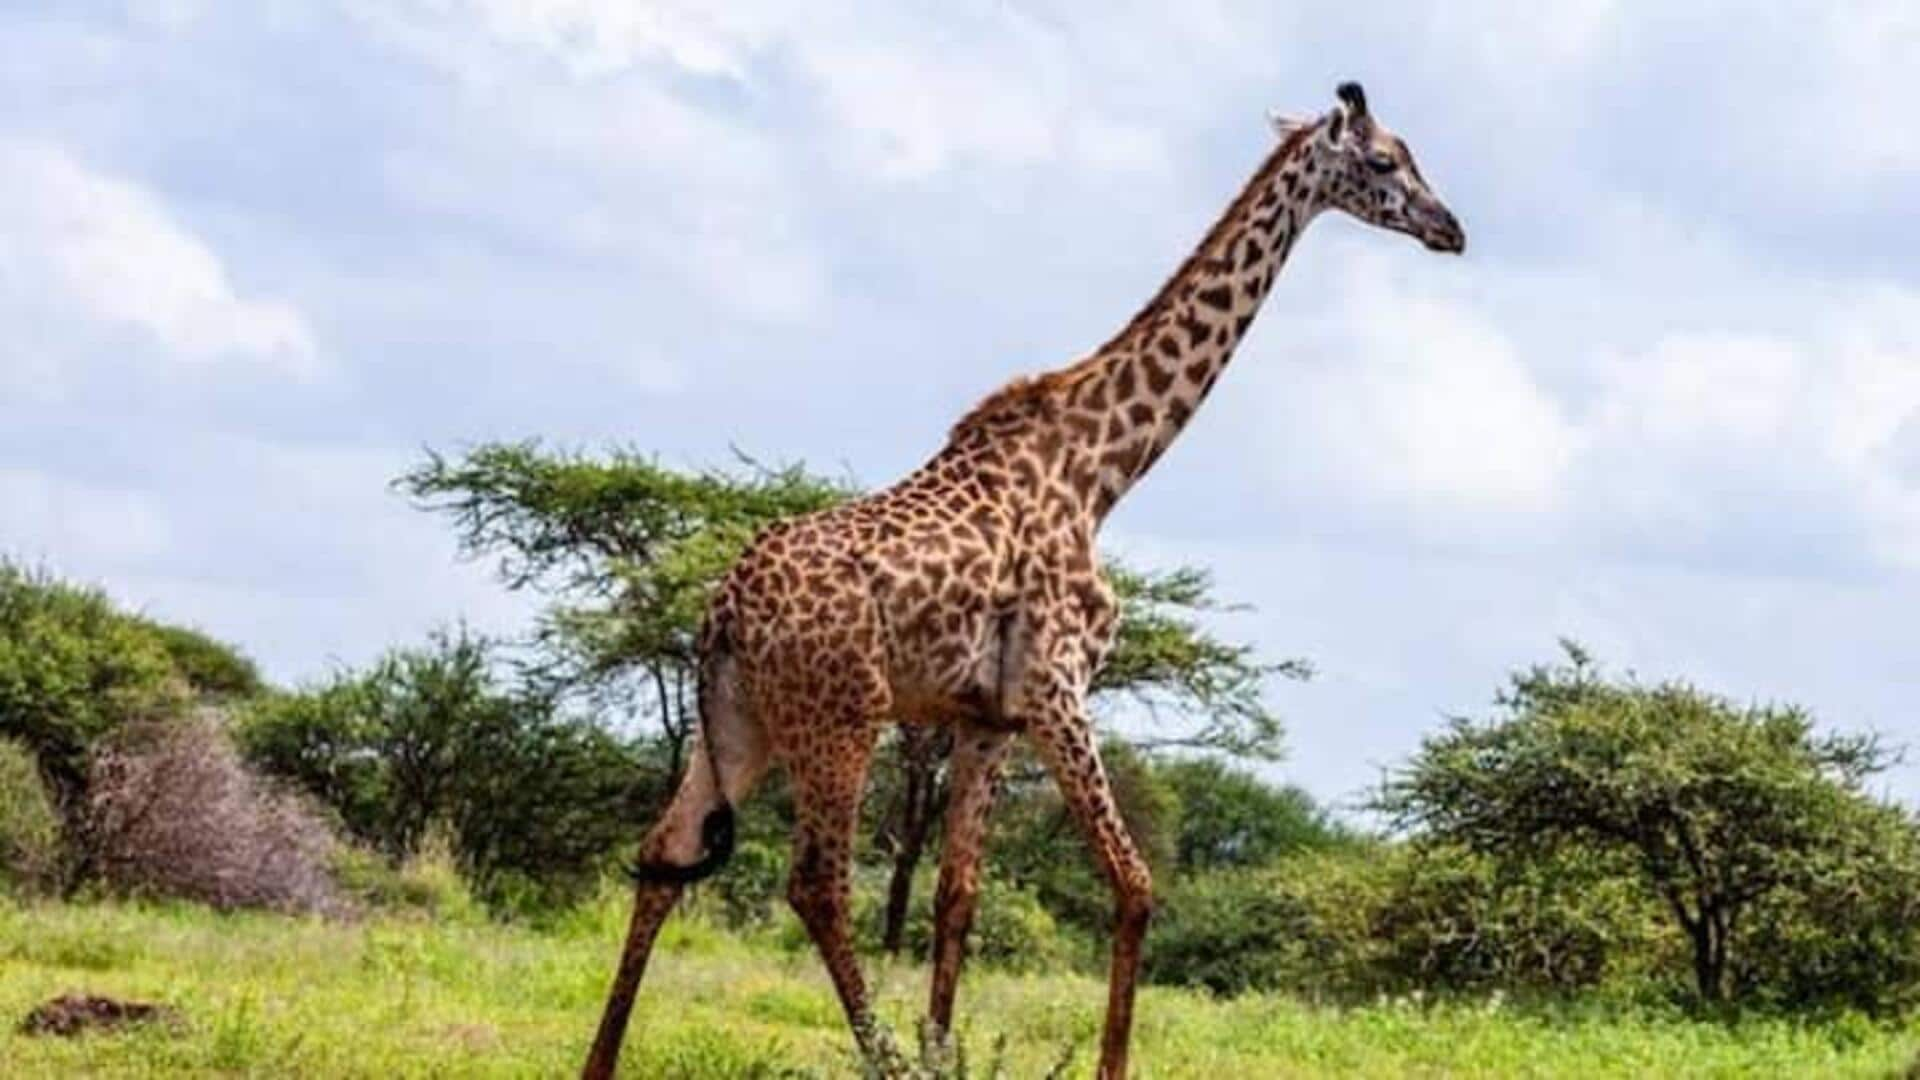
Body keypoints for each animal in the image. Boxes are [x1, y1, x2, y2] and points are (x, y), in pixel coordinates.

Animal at [579, 79, 1451, 1068]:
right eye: (1384, 161)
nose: (1451, 228)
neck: (1102, 470)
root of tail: (721, 610)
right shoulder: (1056, 685)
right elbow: (1134, 883)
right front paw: (1086, 1066)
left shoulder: (985, 717)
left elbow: (957, 896)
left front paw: (945, 1053)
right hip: (840, 717)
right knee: (816, 884)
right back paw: (883, 1062)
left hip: (741, 721)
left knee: (664, 853)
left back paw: (602, 1062)